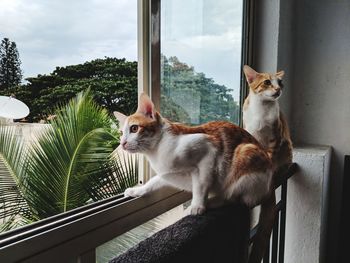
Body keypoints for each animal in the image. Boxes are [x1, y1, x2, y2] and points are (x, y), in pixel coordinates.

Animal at [115, 93, 274, 217]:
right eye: (121, 133)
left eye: (134, 128)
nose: (122, 143)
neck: (156, 151)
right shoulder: (167, 173)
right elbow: (153, 182)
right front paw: (138, 190)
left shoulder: (208, 151)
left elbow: (200, 185)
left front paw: (198, 205)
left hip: (245, 154)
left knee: (233, 197)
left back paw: (212, 202)